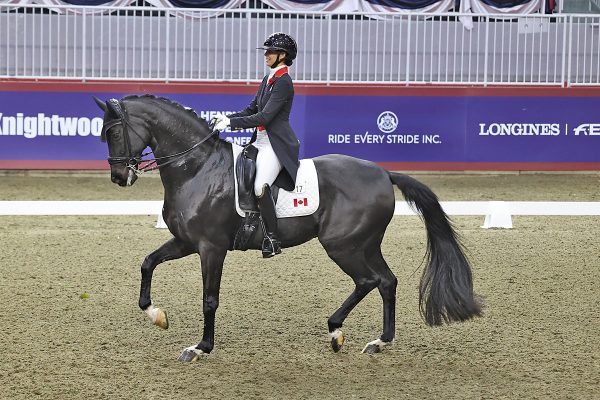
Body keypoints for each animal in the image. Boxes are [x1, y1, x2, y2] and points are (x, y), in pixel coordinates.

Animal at [94, 95, 480, 360]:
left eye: (113, 132)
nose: (118, 177)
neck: (197, 168)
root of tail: (384, 173)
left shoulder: (211, 247)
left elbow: (209, 299)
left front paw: (201, 347)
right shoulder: (187, 241)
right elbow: (147, 263)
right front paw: (156, 315)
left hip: (343, 244)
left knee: (369, 280)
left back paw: (336, 331)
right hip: (364, 243)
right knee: (386, 281)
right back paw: (378, 341)